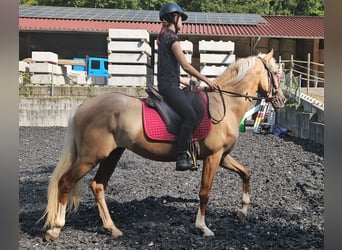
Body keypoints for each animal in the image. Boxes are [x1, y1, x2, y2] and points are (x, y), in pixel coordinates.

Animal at [40, 49, 286, 239]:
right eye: (275, 73)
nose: (282, 100)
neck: (223, 104)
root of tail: (83, 105)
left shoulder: (222, 156)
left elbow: (246, 173)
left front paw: (243, 211)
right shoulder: (214, 157)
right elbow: (205, 192)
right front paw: (203, 227)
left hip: (111, 154)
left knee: (98, 186)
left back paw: (112, 228)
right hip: (90, 157)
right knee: (65, 182)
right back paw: (56, 229)